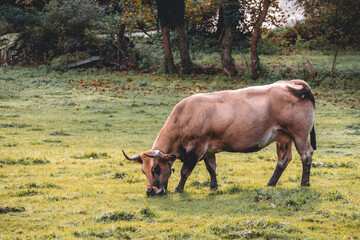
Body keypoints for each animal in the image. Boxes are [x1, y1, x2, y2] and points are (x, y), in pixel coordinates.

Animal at [122, 79, 316, 196]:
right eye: (143, 171)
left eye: (156, 169)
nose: (149, 191)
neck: (183, 118)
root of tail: (292, 83)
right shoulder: (209, 149)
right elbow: (211, 168)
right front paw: (214, 187)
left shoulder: (196, 147)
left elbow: (185, 170)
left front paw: (178, 188)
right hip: (283, 137)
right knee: (283, 159)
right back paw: (270, 184)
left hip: (299, 135)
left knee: (306, 155)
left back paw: (304, 183)